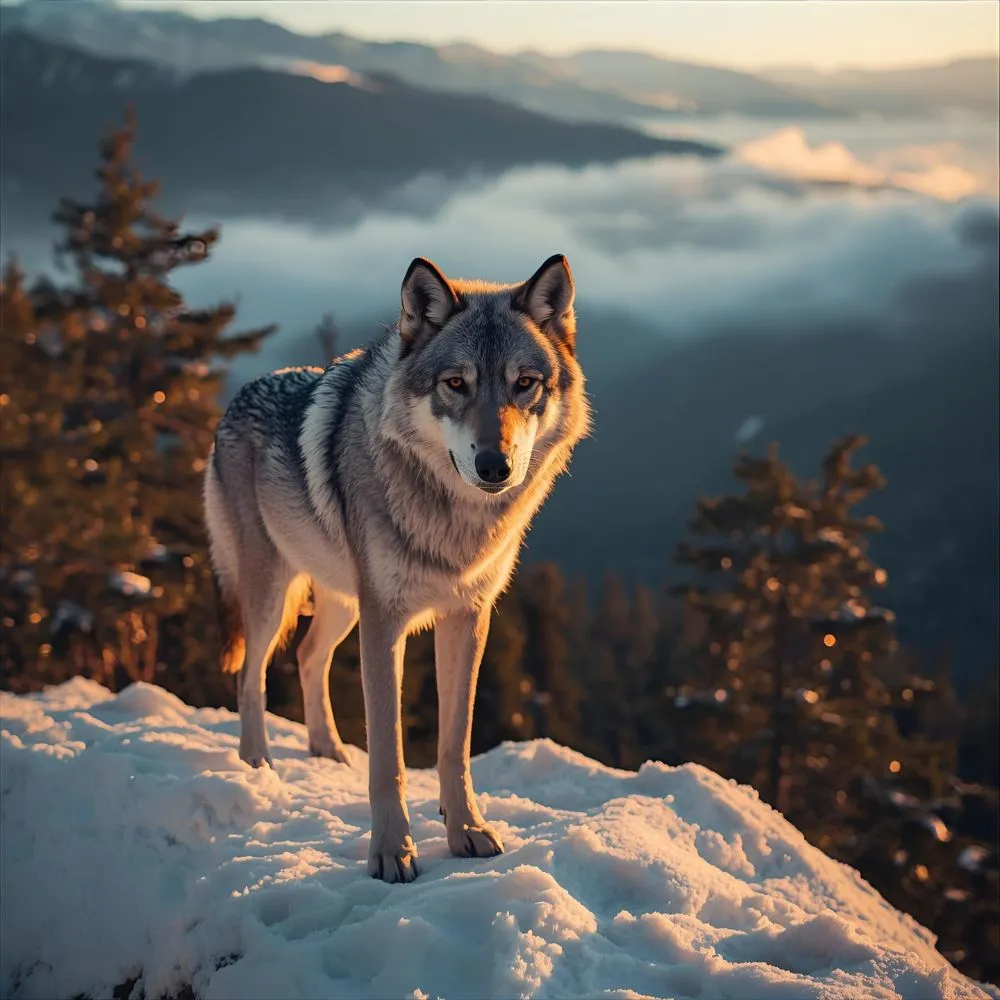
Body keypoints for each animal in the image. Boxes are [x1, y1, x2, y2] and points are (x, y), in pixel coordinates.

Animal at [203, 253, 591, 882]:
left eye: (524, 383)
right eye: (455, 383)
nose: (495, 465)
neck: (455, 525)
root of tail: (238, 397)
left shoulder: (468, 617)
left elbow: (455, 745)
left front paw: (467, 831)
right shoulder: (385, 622)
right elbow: (389, 757)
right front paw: (391, 852)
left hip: (341, 602)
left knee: (307, 656)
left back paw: (328, 751)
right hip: (272, 595)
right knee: (252, 674)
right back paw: (258, 763)